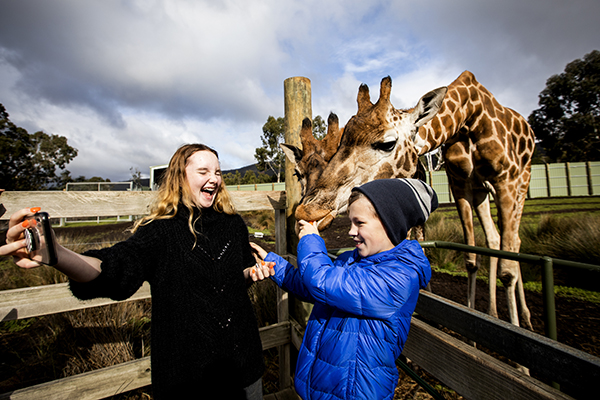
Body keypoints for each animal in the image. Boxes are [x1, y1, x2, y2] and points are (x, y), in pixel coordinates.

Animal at [296, 71, 536, 328]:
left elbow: (507, 270)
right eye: (341, 144)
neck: (466, 119)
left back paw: (523, 319)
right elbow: (470, 256)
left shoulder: (505, 181)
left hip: (521, 183)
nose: (308, 211)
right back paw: (493, 312)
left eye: (387, 143)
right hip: (481, 190)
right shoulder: (460, 185)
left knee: (514, 243)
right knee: (494, 239)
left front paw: (513, 328)